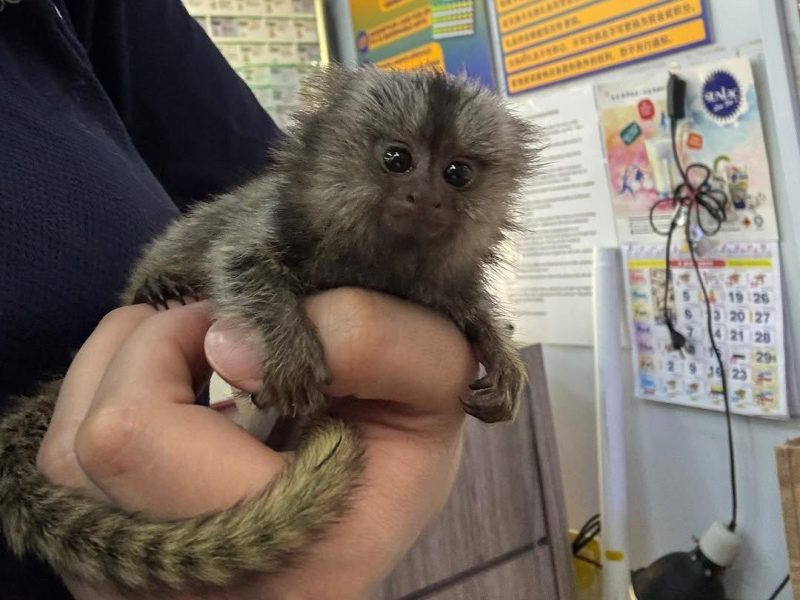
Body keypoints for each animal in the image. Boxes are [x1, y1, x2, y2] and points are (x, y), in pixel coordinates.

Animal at [0, 64, 538, 593]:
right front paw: (292, 347)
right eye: (397, 160)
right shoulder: (272, 227)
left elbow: (471, 311)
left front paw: (500, 350)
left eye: (457, 174)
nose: (426, 198)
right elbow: (240, 263)